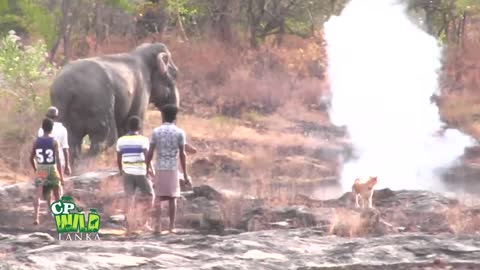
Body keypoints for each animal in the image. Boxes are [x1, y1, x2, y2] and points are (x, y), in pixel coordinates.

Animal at [50, 43, 180, 163]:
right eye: (174, 74)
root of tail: (66, 89)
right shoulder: (142, 91)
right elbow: (134, 123)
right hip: (99, 105)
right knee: (104, 139)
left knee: (72, 142)